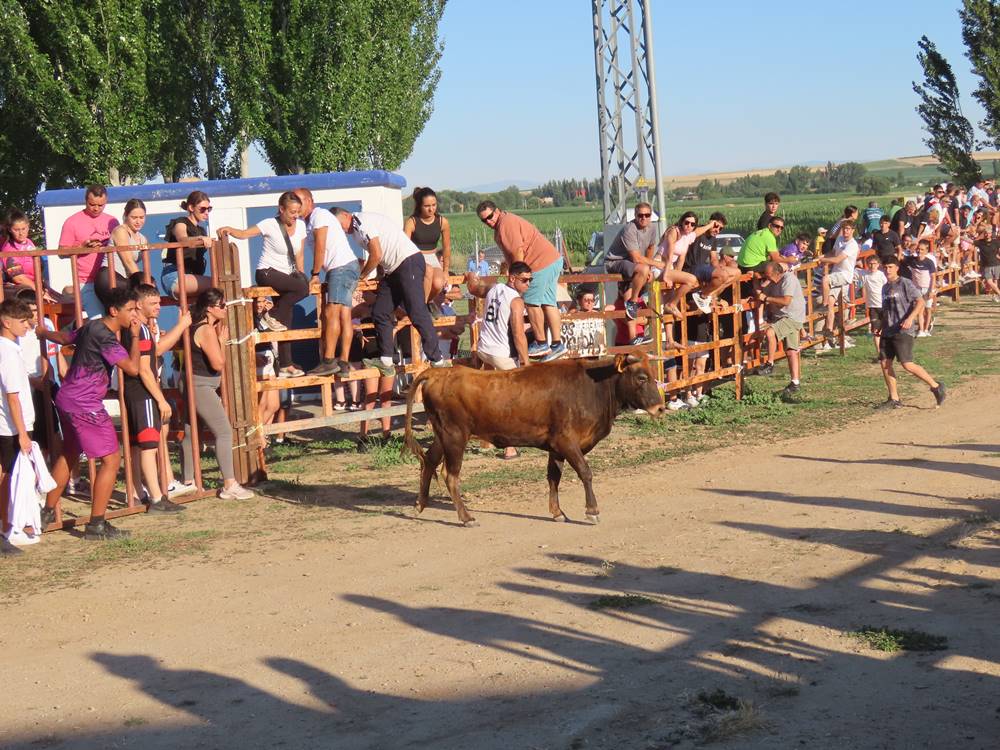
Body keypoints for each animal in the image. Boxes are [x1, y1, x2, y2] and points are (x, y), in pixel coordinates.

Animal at [398, 354, 664, 524]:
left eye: (653, 375)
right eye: (641, 377)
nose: (660, 407)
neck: (592, 386)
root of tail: (438, 373)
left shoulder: (556, 448)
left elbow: (554, 477)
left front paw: (558, 512)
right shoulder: (567, 442)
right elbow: (585, 472)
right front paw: (592, 510)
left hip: (442, 435)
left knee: (429, 461)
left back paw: (420, 504)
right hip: (454, 436)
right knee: (450, 475)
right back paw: (466, 517)